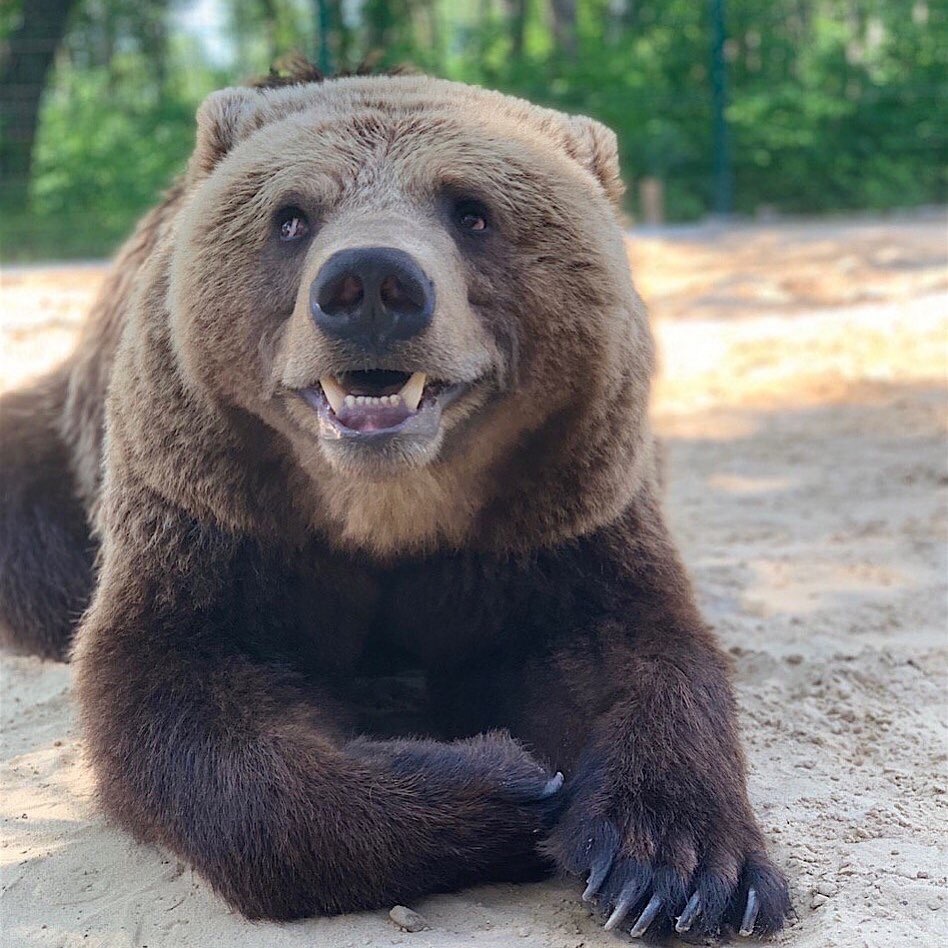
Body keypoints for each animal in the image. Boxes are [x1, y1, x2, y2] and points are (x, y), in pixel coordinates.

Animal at [0, 74, 792, 940]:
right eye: (291, 216)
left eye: (472, 210)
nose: (372, 283)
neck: (387, 511)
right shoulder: (217, 516)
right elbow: (176, 692)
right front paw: (503, 778)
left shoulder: (557, 518)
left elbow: (630, 650)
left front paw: (679, 868)